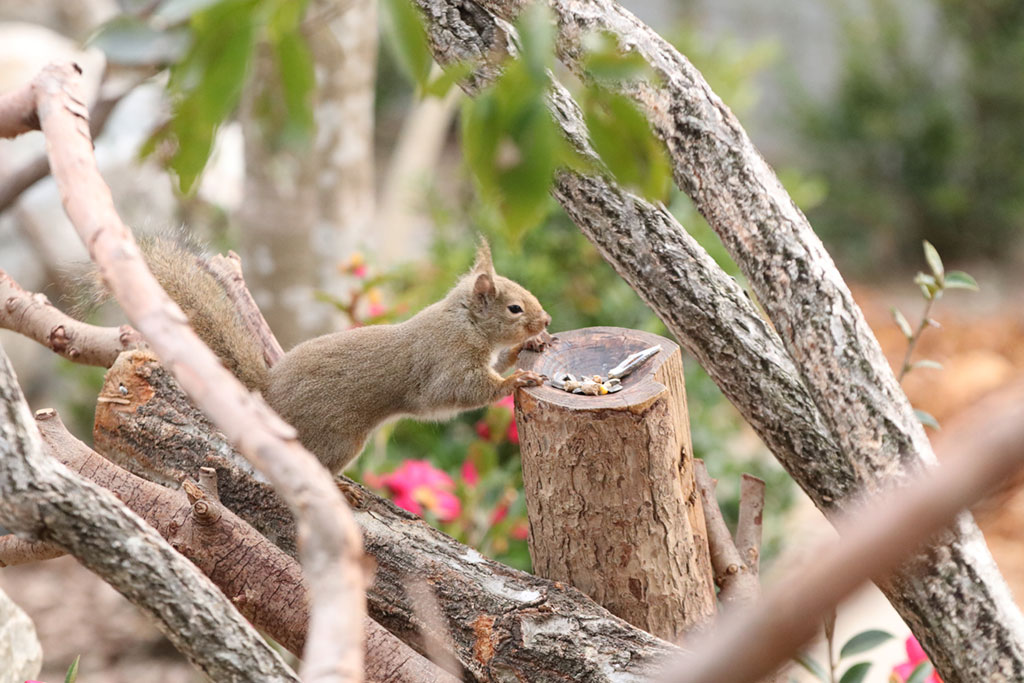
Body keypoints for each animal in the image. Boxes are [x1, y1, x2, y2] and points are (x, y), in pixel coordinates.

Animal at [143, 237, 553, 474]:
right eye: (515, 308)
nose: (546, 319)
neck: (466, 322)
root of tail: (266, 395)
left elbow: (498, 362)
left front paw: (526, 349)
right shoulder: (447, 360)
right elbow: (462, 391)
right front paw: (517, 379)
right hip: (337, 441)